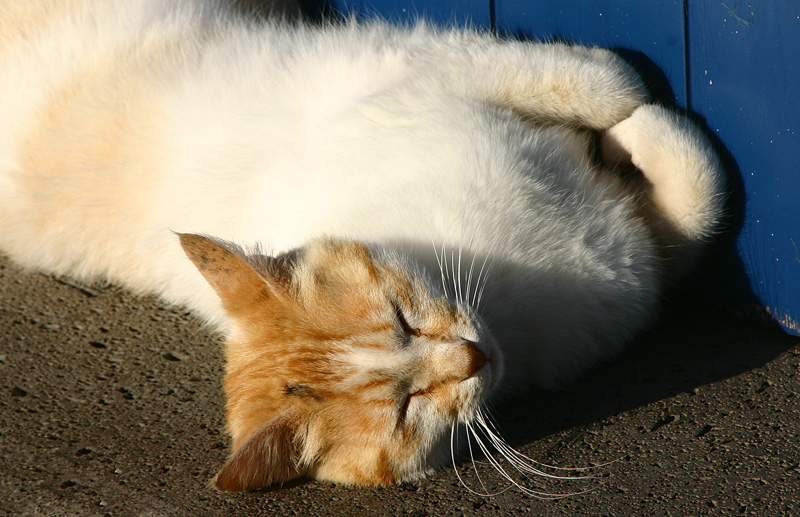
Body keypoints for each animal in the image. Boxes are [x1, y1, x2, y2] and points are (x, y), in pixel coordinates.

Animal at [0, 0, 724, 492]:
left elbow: (610, 88)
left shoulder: (419, 66)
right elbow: (694, 196)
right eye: (406, 410)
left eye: (402, 317)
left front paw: (635, 121)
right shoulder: (637, 258)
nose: (471, 356)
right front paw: (647, 132)